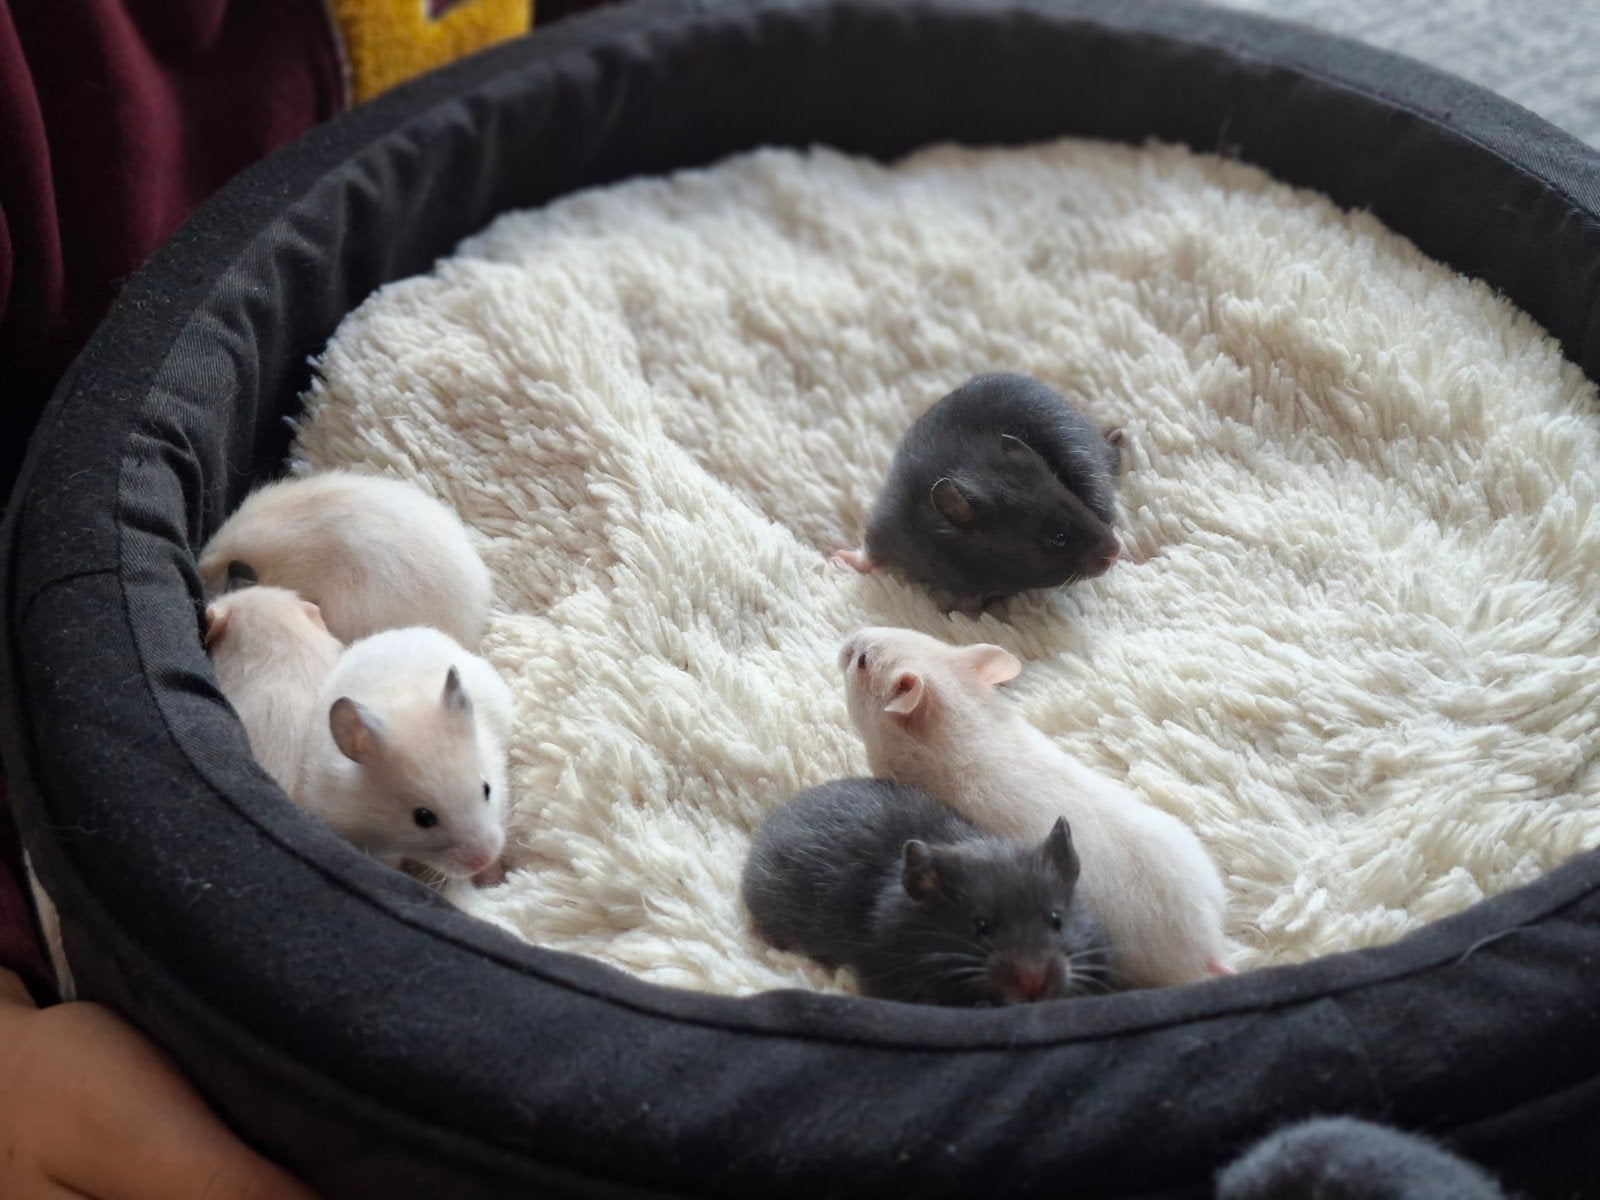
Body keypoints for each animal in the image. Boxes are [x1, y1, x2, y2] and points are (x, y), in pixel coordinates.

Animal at [837, 372, 1122, 613]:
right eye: (1058, 539)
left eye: (1075, 500)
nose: (1115, 553)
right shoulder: (890, 524)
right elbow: (870, 552)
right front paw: (844, 558)